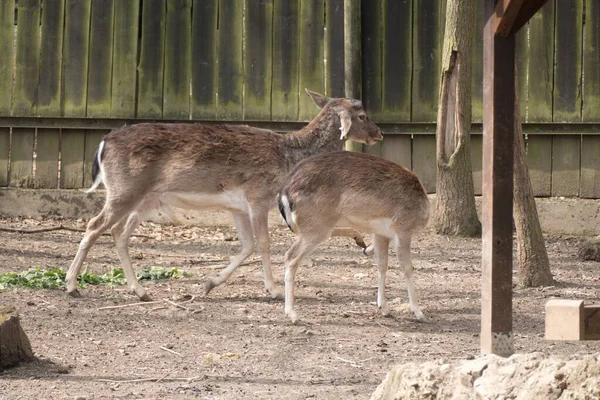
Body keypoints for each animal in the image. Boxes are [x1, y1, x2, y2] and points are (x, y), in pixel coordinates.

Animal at [65, 88, 382, 300]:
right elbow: (264, 244)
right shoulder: (258, 197)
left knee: (119, 232)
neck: (290, 156)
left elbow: (247, 245)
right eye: (363, 115)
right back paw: (71, 286)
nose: (379, 134)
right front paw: (273, 290)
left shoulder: (238, 207)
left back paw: (140, 291)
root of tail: (103, 143)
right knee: (94, 225)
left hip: (145, 198)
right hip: (124, 190)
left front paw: (210, 283)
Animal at [278, 152, 428, 324]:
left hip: (317, 227)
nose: (366, 250)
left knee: (289, 254)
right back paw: (293, 314)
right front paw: (418, 312)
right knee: (291, 259)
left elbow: (382, 265)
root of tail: (284, 193)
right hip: (316, 228)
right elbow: (408, 267)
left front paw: (384, 308)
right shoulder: (403, 229)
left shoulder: (381, 233)